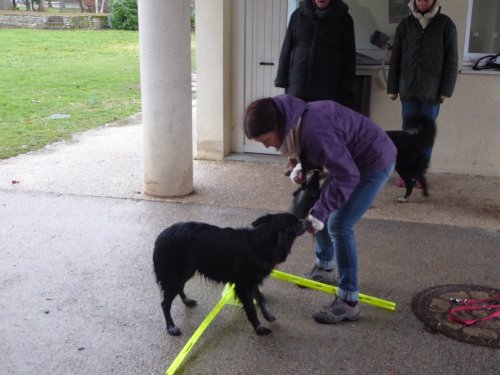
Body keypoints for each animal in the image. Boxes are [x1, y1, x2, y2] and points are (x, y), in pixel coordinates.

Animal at [154, 214, 306, 338]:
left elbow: (261, 298)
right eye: (296, 225)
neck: (261, 243)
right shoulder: (243, 286)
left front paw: (268, 315)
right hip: (174, 274)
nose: (308, 221)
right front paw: (259, 328)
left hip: (185, 272)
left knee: (179, 288)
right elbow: (251, 309)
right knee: (165, 304)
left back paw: (186, 300)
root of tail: (160, 237)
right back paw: (171, 327)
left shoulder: (250, 282)